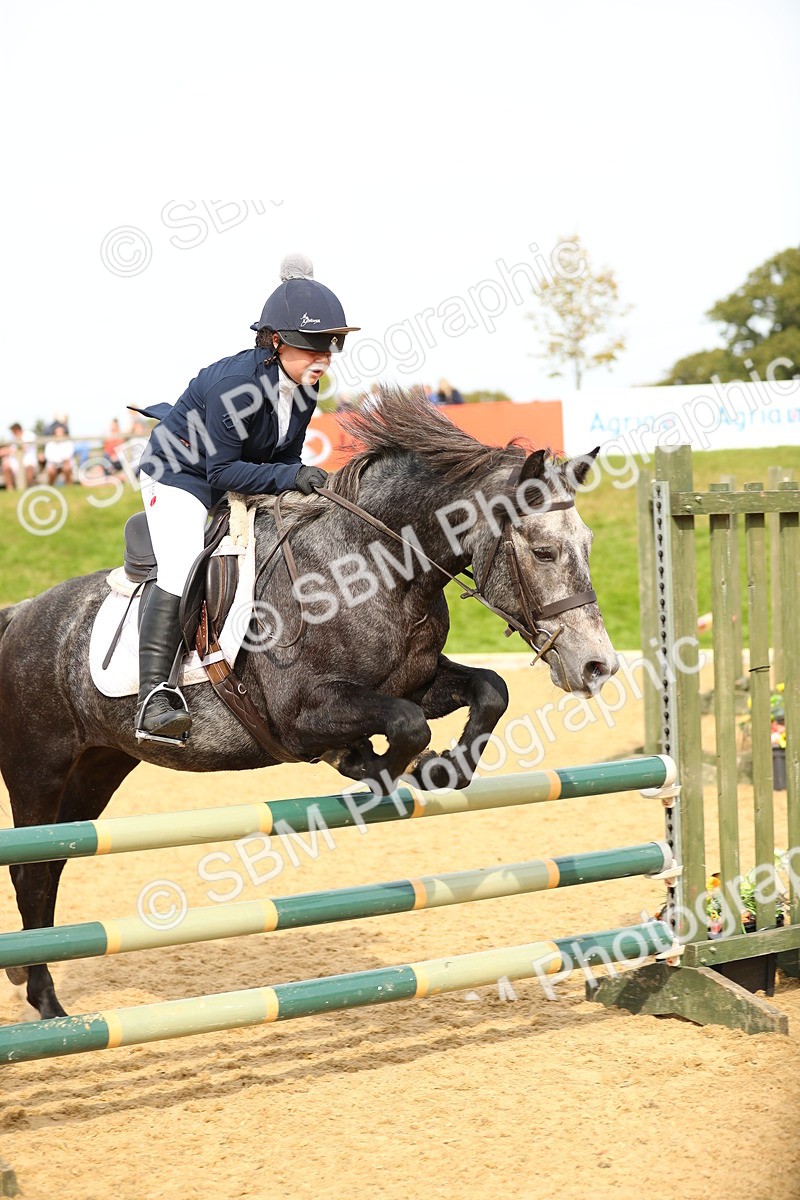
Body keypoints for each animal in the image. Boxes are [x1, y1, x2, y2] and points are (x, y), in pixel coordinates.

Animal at [0, 386, 618, 1020]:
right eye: (543, 552)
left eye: (587, 546)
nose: (597, 665)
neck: (378, 566)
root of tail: (19, 614)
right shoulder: (301, 715)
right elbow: (407, 726)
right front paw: (371, 766)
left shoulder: (414, 681)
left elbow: (489, 690)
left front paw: (447, 767)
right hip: (38, 771)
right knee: (31, 873)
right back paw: (45, 1000)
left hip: (98, 767)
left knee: (53, 864)